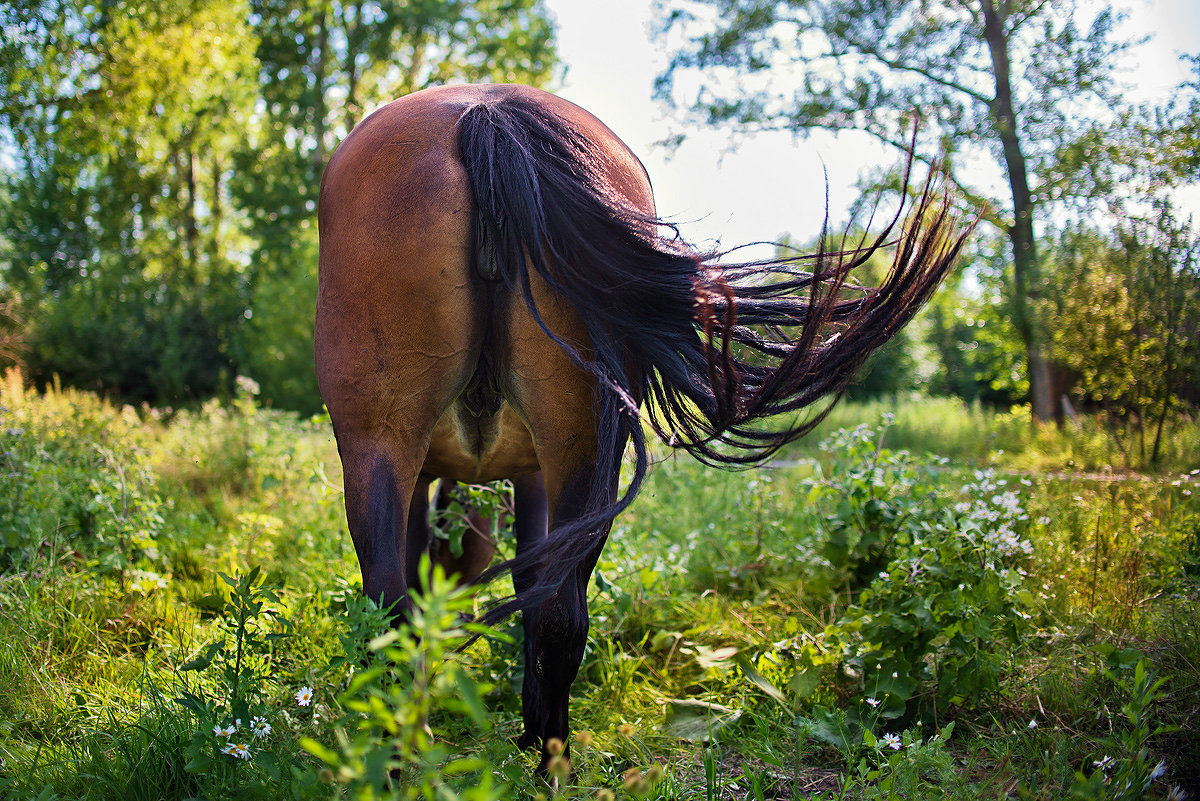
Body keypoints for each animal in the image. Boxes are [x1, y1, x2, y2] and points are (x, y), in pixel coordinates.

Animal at [314, 81, 969, 767]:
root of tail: (485, 113)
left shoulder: (518, 475)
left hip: (435, 445)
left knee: (434, 608)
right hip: (528, 446)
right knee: (530, 612)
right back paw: (530, 760)